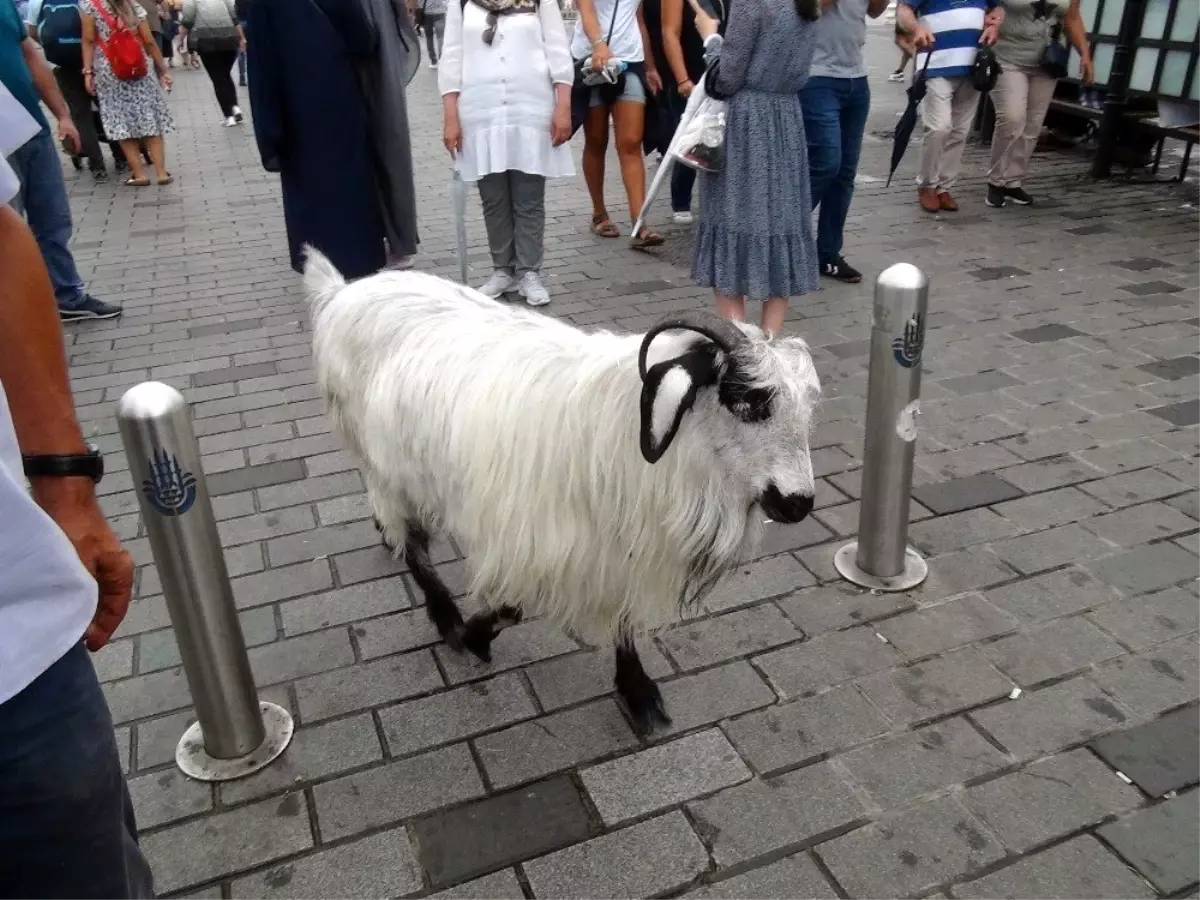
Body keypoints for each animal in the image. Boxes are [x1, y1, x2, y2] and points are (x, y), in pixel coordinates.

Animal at [304, 250, 820, 729]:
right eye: (747, 401)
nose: (799, 504)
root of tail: (343, 291)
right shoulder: (530, 537)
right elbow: (510, 608)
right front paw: (473, 635)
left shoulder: (616, 547)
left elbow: (622, 615)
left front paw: (637, 691)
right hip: (383, 462)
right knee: (412, 543)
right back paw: (446, 618)